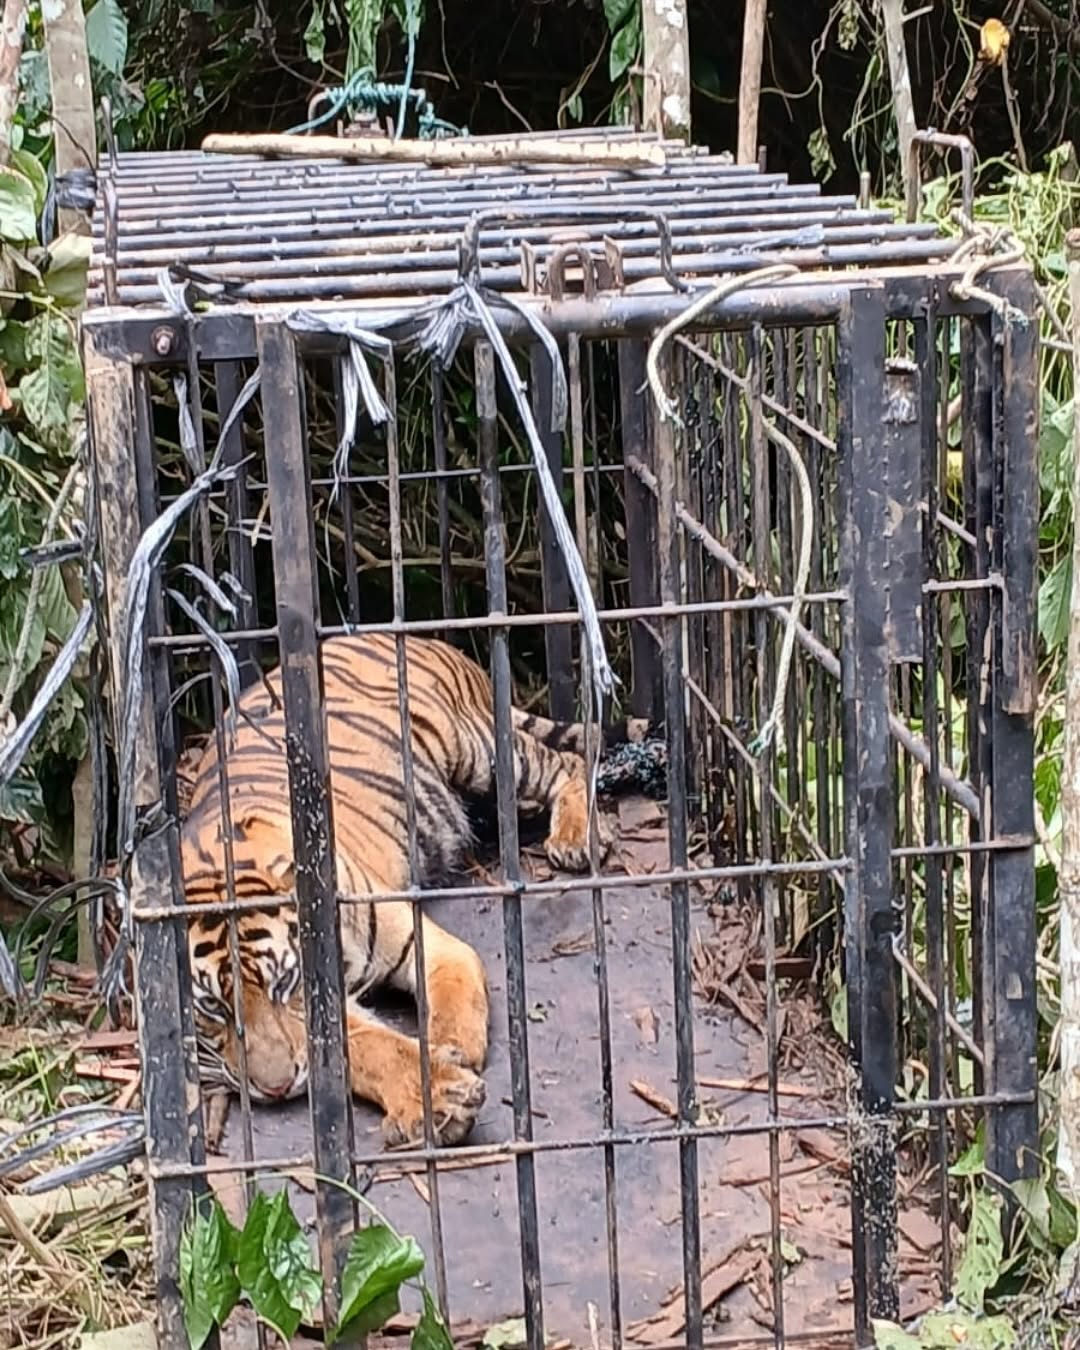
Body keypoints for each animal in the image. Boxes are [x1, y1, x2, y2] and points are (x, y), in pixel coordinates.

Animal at [180, 631, 645, 1150]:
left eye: (283, 983)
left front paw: (447, 1053)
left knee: (569, 762)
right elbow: (366, 1045)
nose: (277, 1088)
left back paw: (575, 836)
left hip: (481, 749)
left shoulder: (430, 945)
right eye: (213, 1008)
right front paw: (436, 1095)